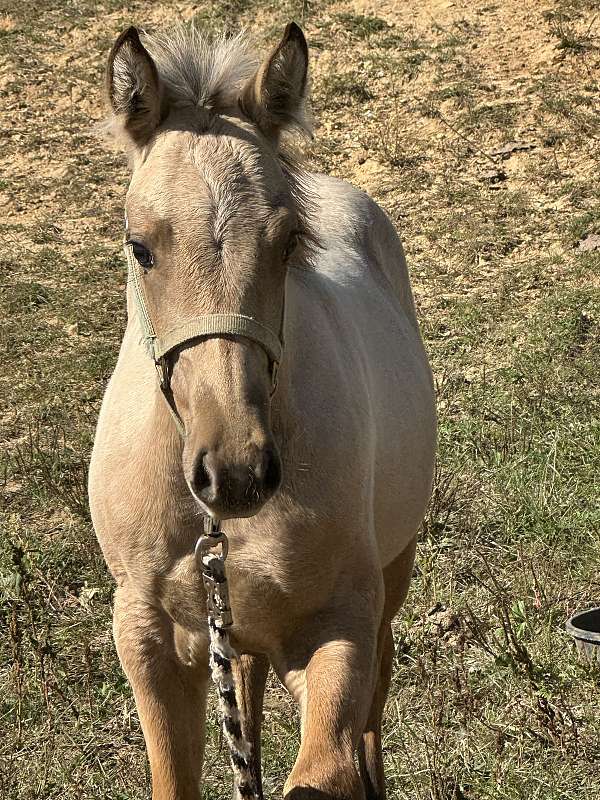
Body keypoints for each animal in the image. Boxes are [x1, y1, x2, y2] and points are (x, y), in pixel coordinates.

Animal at [88, 21, 436, 800]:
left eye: (288, 243)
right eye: (139, 246)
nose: (237, 473)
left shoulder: (336, 625)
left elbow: (326, 769)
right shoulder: (148, 637)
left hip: (391, 577)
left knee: (372, 715)